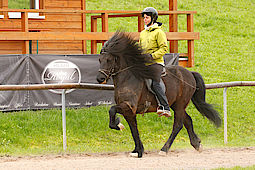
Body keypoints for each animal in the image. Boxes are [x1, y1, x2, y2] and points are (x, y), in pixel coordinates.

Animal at [96, 30, 221, 158]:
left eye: (109, 60)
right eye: (100, 60)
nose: (100, 78)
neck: (128, 78)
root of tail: (190, 73)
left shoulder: (129, 106)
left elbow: (112, 110)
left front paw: (118, 124)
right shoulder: (129, 112)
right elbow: (134, 129)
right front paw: (137, 150)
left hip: (180, 105)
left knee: (178, 125)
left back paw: (164, 149)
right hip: (176, 105)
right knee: (188, 120)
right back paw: (197, 144)